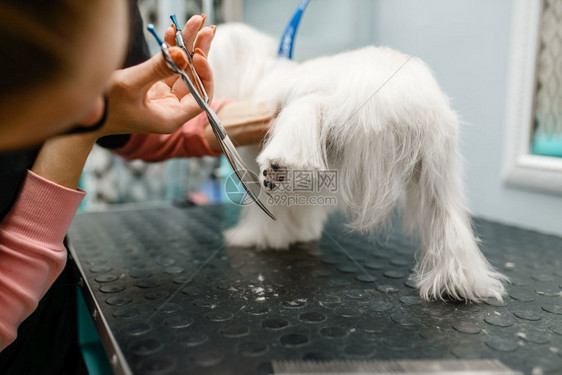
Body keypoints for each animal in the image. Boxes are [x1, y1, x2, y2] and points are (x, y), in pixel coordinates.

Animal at [208, 23, 506, 304]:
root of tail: (406, 91)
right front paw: (298, 233)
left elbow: (267, 211)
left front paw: (258, 237)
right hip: (438, 170)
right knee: (448, 220)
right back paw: (457, 282)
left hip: (328, 103)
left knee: (307, 111)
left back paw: (280, 164)